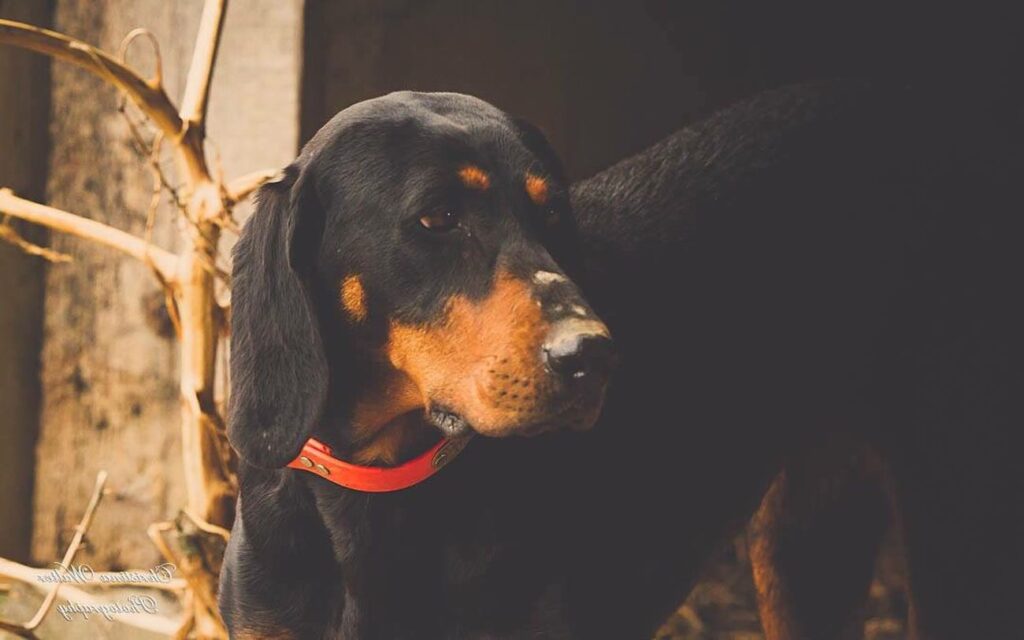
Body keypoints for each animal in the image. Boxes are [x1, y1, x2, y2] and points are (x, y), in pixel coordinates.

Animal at [220, 84, 1019, 638]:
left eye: (552, 213)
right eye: (438, 217)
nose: (595, 357)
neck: (375, 498)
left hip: (954, 529)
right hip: (804, 547)